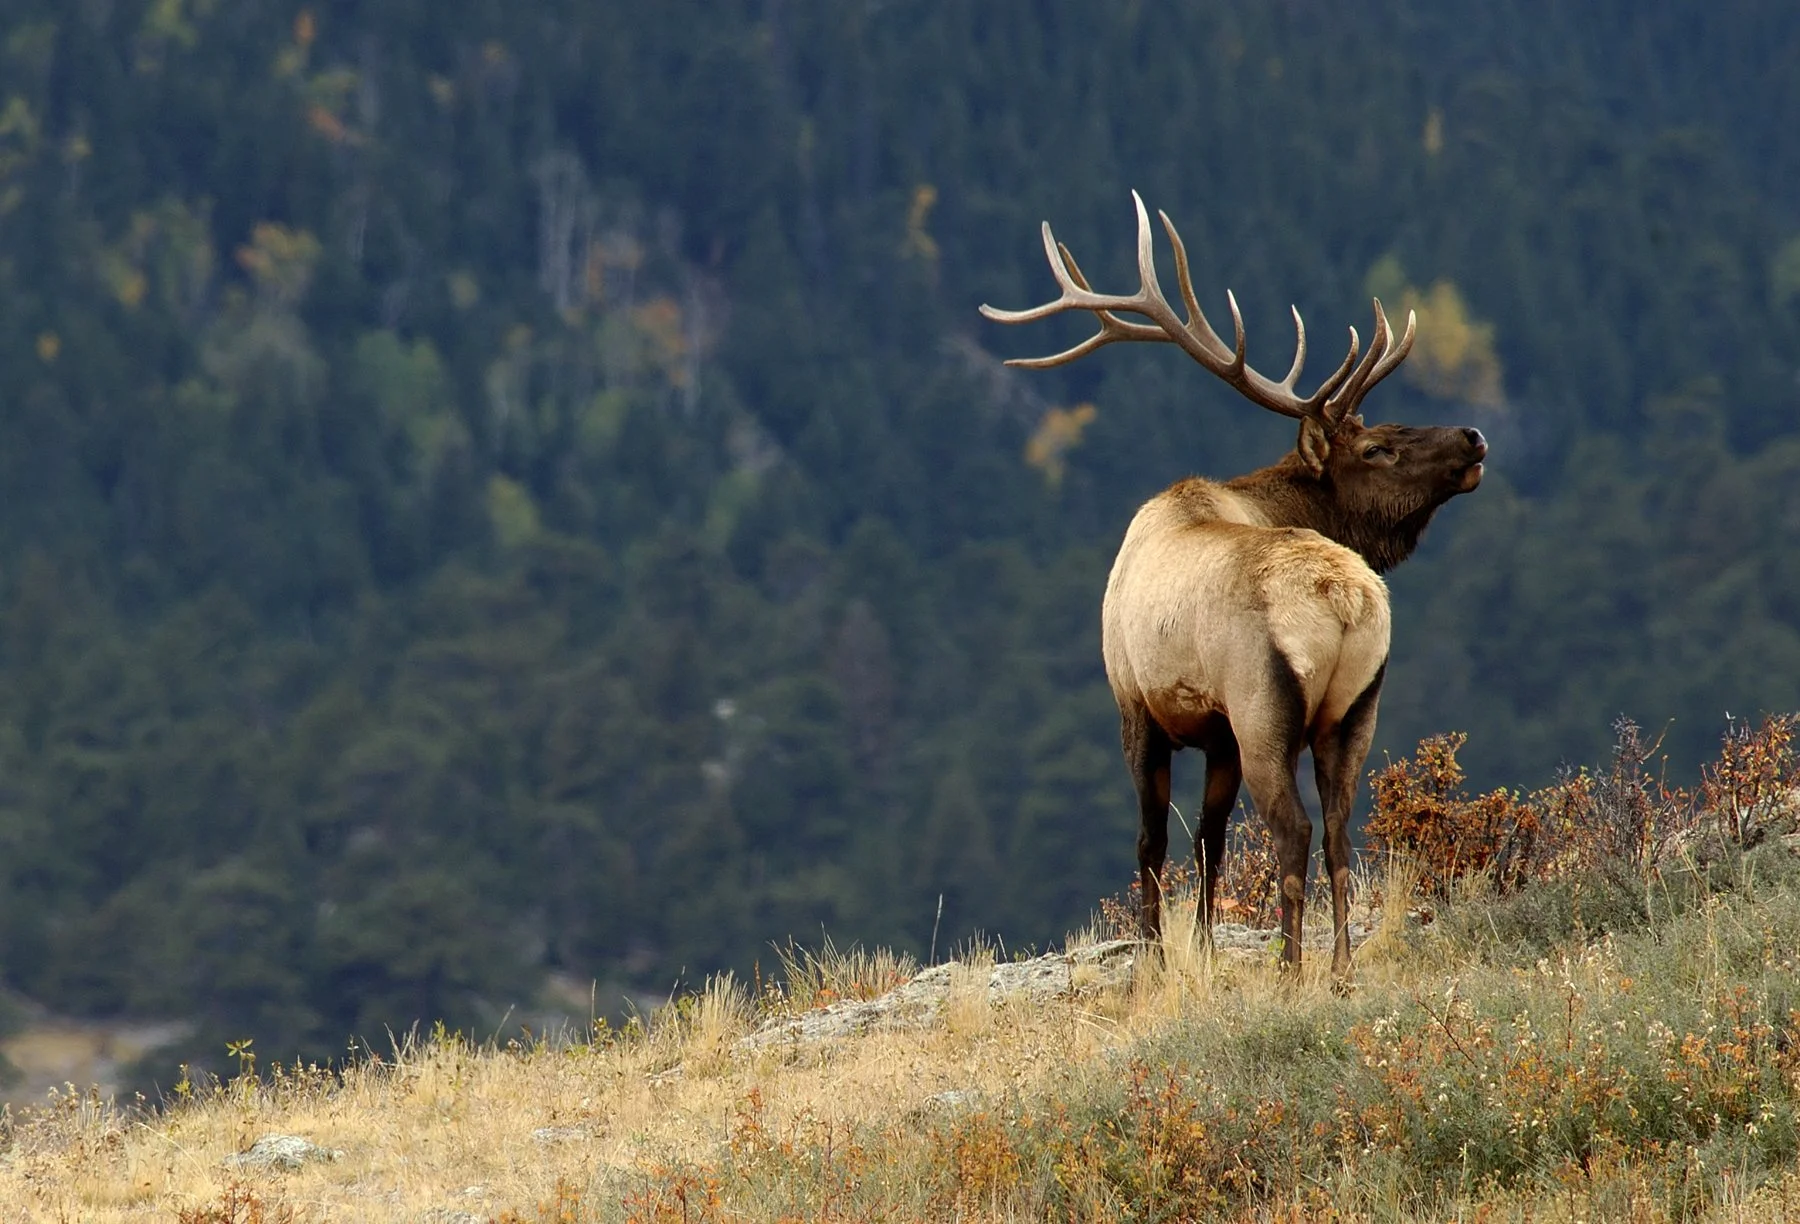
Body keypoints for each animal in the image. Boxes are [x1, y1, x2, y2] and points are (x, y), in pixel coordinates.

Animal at [980, 193, 1487, 979]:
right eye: (1378, 445)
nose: (1471, 437)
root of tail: (1346, 600)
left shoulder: (1136, 703)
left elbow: (1153, 841)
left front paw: (1156, 960)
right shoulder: (1211, 730)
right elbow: (1208, 839)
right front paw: (1205, 950)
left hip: (1261, 704)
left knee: (1293, 830)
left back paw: (1292, 971)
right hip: (1355, 706)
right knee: (1339, 829)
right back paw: (1339, 971)